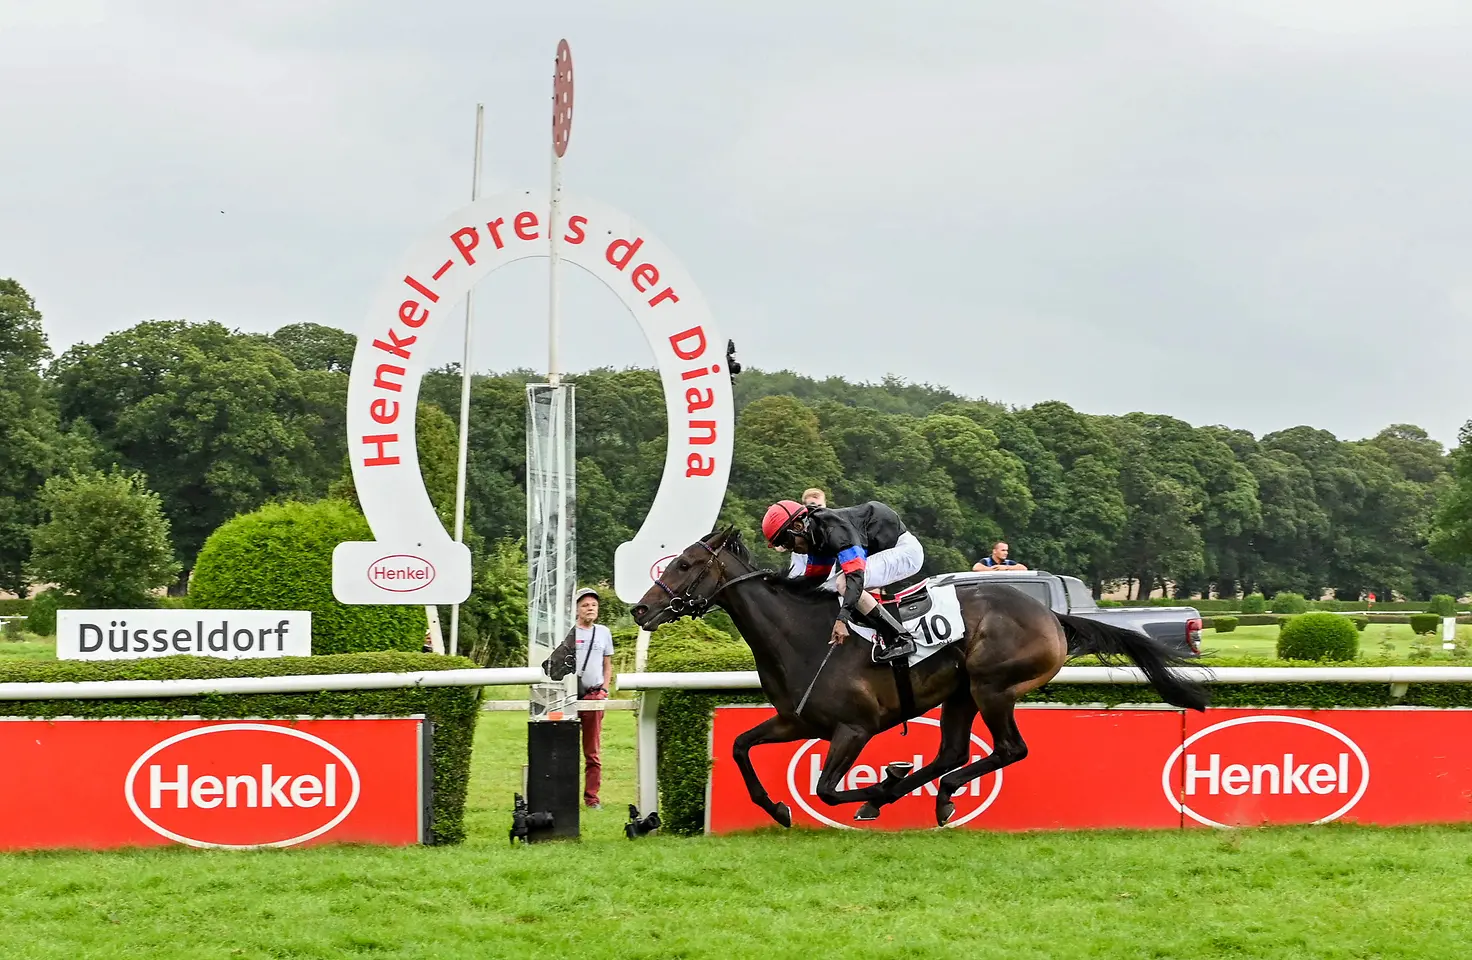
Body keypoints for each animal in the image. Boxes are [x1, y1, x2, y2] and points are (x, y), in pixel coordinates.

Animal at [632, 530, 1207, 830]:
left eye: (685, 564)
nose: (639, 609)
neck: (802, 636)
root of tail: (1053, 615)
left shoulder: (855, 728)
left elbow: (825, 789)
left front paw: (876, 786)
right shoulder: (798, 721)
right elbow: (739, 746)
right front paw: (776, 808)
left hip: (991, 686)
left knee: (1009, 748)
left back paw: (909, 792)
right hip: (960, 693)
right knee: (952, 752)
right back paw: (934, 794)